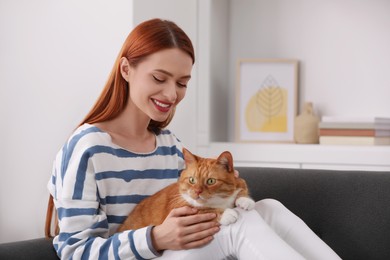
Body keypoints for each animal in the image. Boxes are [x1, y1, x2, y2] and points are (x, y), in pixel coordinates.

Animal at [116, 148, 256, 232]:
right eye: (192, 180)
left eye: (211, 181)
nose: (197, 192)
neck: (220, 201)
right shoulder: (179, 209)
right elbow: (204, 210)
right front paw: (226, 214)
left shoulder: (239, 181)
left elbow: (241, 188)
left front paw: (245, 200)